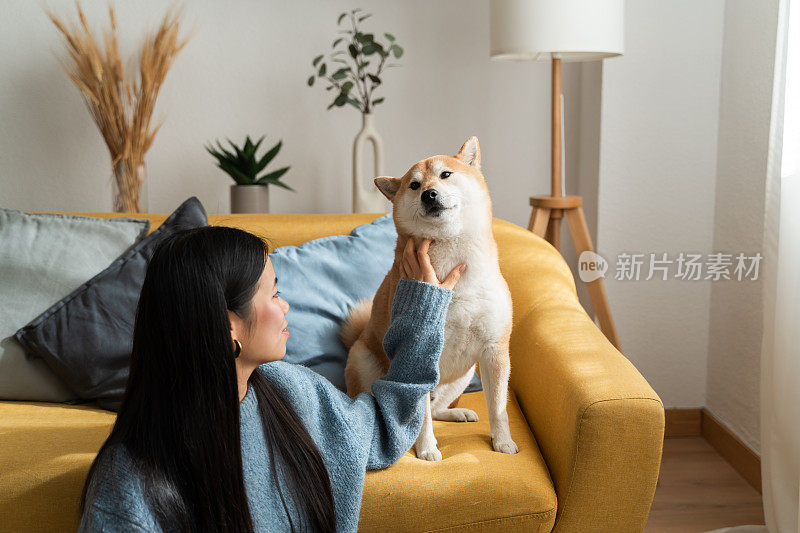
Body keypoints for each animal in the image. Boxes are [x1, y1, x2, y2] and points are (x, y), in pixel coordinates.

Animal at [340, 135, 520, 460]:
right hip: (365, 364)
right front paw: (426, 449)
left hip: (464, 373)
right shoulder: (418, 355)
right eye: (414, 185)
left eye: (445, 175)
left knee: (436, 407)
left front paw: (502, 442)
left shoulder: (494, 350)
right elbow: (419, 415)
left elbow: (499, 407)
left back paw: (455, 413)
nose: (429, 194)